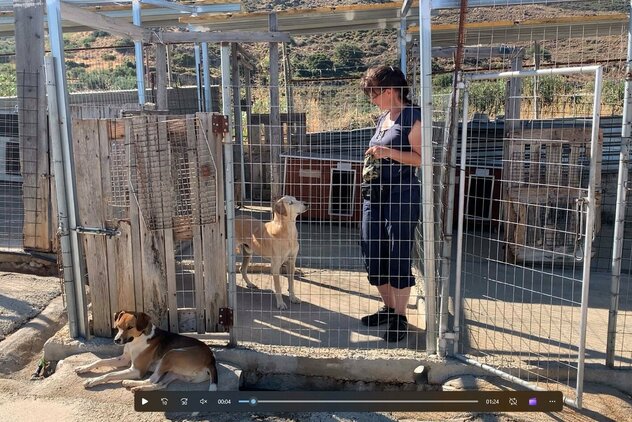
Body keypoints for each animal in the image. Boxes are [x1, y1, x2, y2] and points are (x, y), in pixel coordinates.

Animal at [73, 310, 217, 392]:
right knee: (160, 385)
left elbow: (110, 374)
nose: (116, 340)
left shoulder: (136, 370)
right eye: (118, 326)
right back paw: (138, 387)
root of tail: (211, 359)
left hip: (171, 354)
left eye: (130, 327)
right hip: (174, 373)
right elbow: (100, 361)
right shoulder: (124, 359)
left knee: (152, 380)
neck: (136, 340)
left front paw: (92, 381)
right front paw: (83, 368)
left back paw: (130, 383)